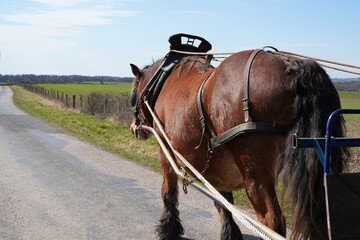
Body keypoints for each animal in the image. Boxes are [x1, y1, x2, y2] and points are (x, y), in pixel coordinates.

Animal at [129, 49, 348, 239]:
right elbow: (224, 201)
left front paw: (168, 229)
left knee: (271, 221)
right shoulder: (219, 167)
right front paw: (229, 232)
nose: (133, 127)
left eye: (132, 96)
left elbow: (168, 192)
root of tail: (289, 65)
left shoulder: (165, 150)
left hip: (254, 171)